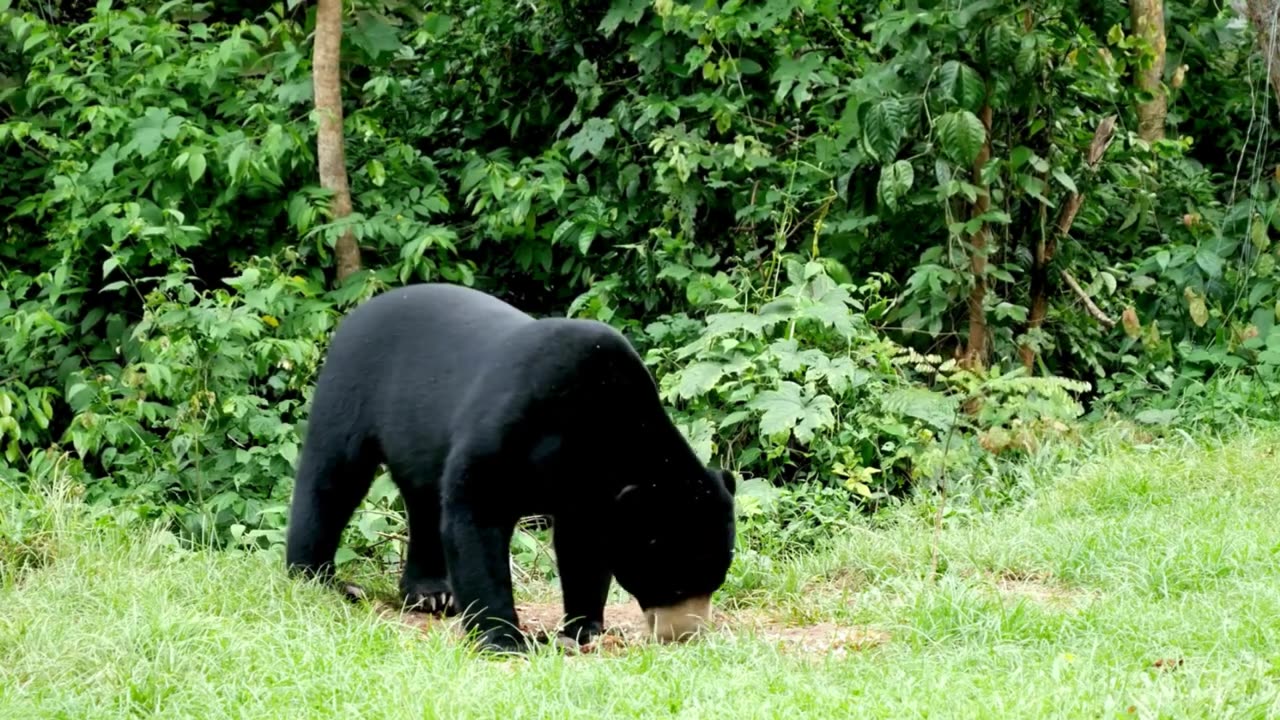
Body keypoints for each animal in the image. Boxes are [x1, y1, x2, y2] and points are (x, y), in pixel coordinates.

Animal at [284, 280, 737, 650]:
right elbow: (476, 511)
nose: (685, 634)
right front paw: (504, 638)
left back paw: (431, 592)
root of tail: (358, 311)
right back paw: (320, 578)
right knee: (331, 480)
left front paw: (582, 628)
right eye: (672, 579)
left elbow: (582, 544)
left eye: (717, 576)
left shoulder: (586, 488)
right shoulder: (517, 418)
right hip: (351, 388)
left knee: (425, 503)